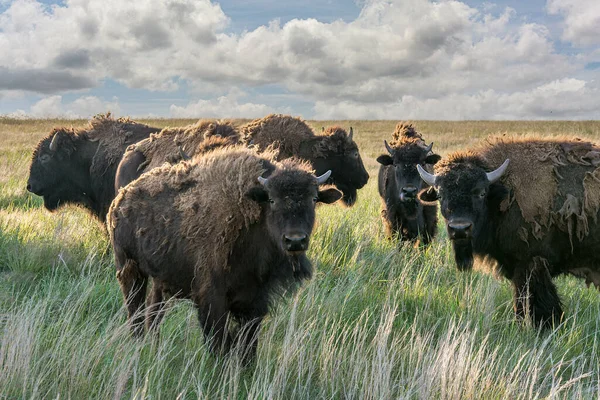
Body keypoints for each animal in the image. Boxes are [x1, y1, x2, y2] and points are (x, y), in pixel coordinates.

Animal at [108, 146, 342, 356]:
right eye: (272, 200)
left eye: (313, 199)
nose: (295, 241)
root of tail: (122, 198)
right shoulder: (212, 299)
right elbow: (219, 344)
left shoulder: (255, 301)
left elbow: (248, 347)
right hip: (130, 271)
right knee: (136, 311)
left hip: (159, 278)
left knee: (153, 312)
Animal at [420, 137, 600, 328]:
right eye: (440, 195)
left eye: (481, 193)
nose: (459, 229)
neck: (504, 193)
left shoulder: (530, 265)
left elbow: (537, 303)